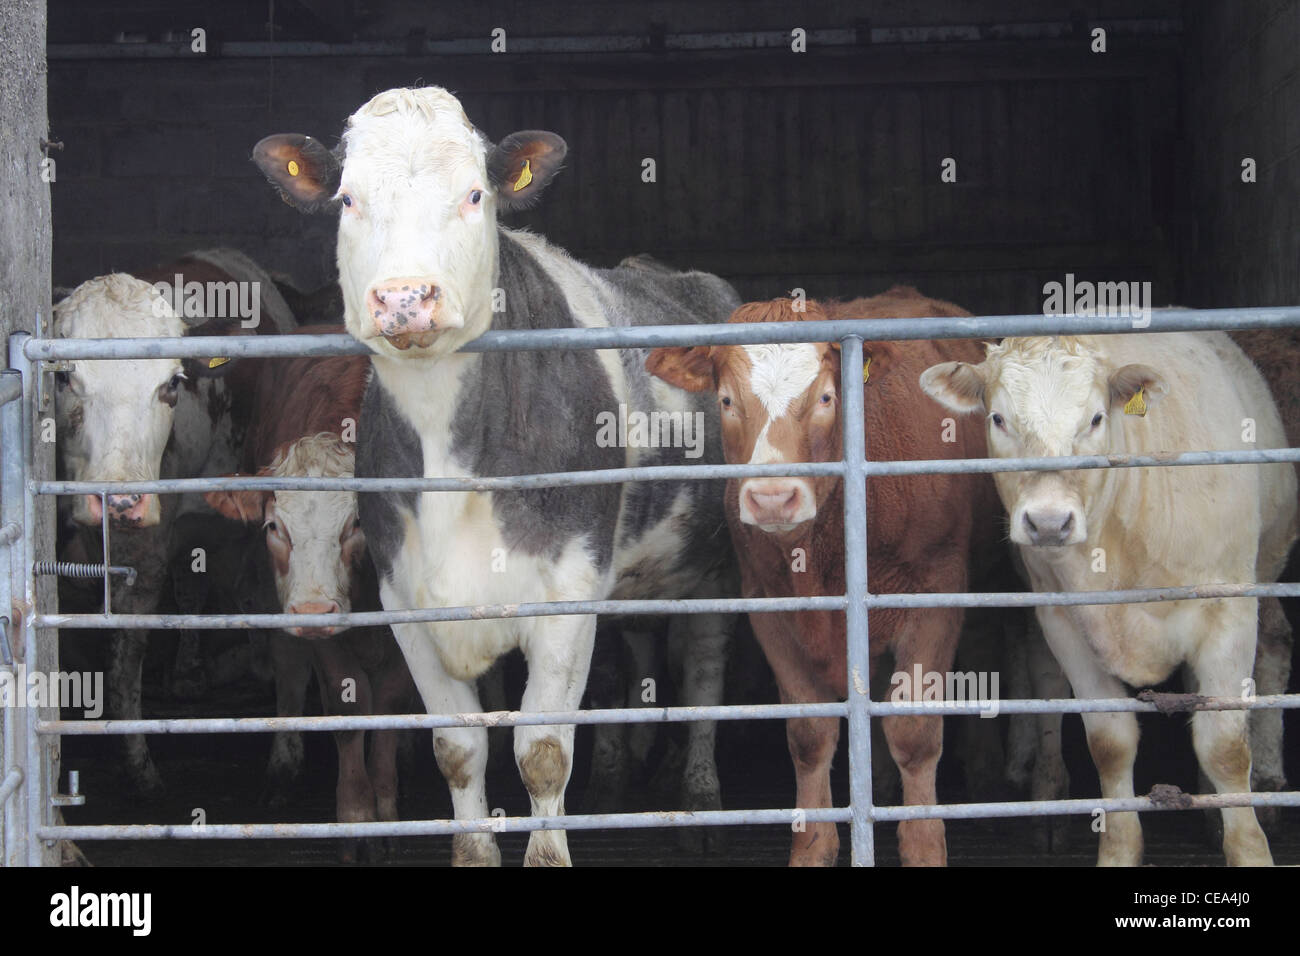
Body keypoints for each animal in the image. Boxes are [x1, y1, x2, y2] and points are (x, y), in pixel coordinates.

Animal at [204, 344, 415, 862]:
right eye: (274, 526)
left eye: (356, 523)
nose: (315, 612)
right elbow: (346, 708)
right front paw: (356, 817)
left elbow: (391, 705)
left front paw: (386, 814)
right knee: (289, 670)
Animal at [253, 86, 739, 866]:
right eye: (349, 199)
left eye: (474, 194)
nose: (405, 297)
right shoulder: (404, 599)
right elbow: (459, 751)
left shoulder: (568, 590)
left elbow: (542, 751)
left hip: (716, 560)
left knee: (703, 674)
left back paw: (699, 792)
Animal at [647, 288, 1003, 866]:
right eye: (725, 401)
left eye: (827, 398)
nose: (773, 497)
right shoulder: (770, 611)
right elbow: (809, 735)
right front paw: (812, 847)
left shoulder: (936, 594)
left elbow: (915, 733)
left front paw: (924, 845)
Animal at [921, 332, 1298, 866]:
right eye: (998, 418)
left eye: (1097, 418)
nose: (1049, 522)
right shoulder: (1065, 622)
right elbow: (1110, 742)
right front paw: (1118, 850)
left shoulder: (1230, 613)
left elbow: (1224, 745)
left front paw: (1249, 849)